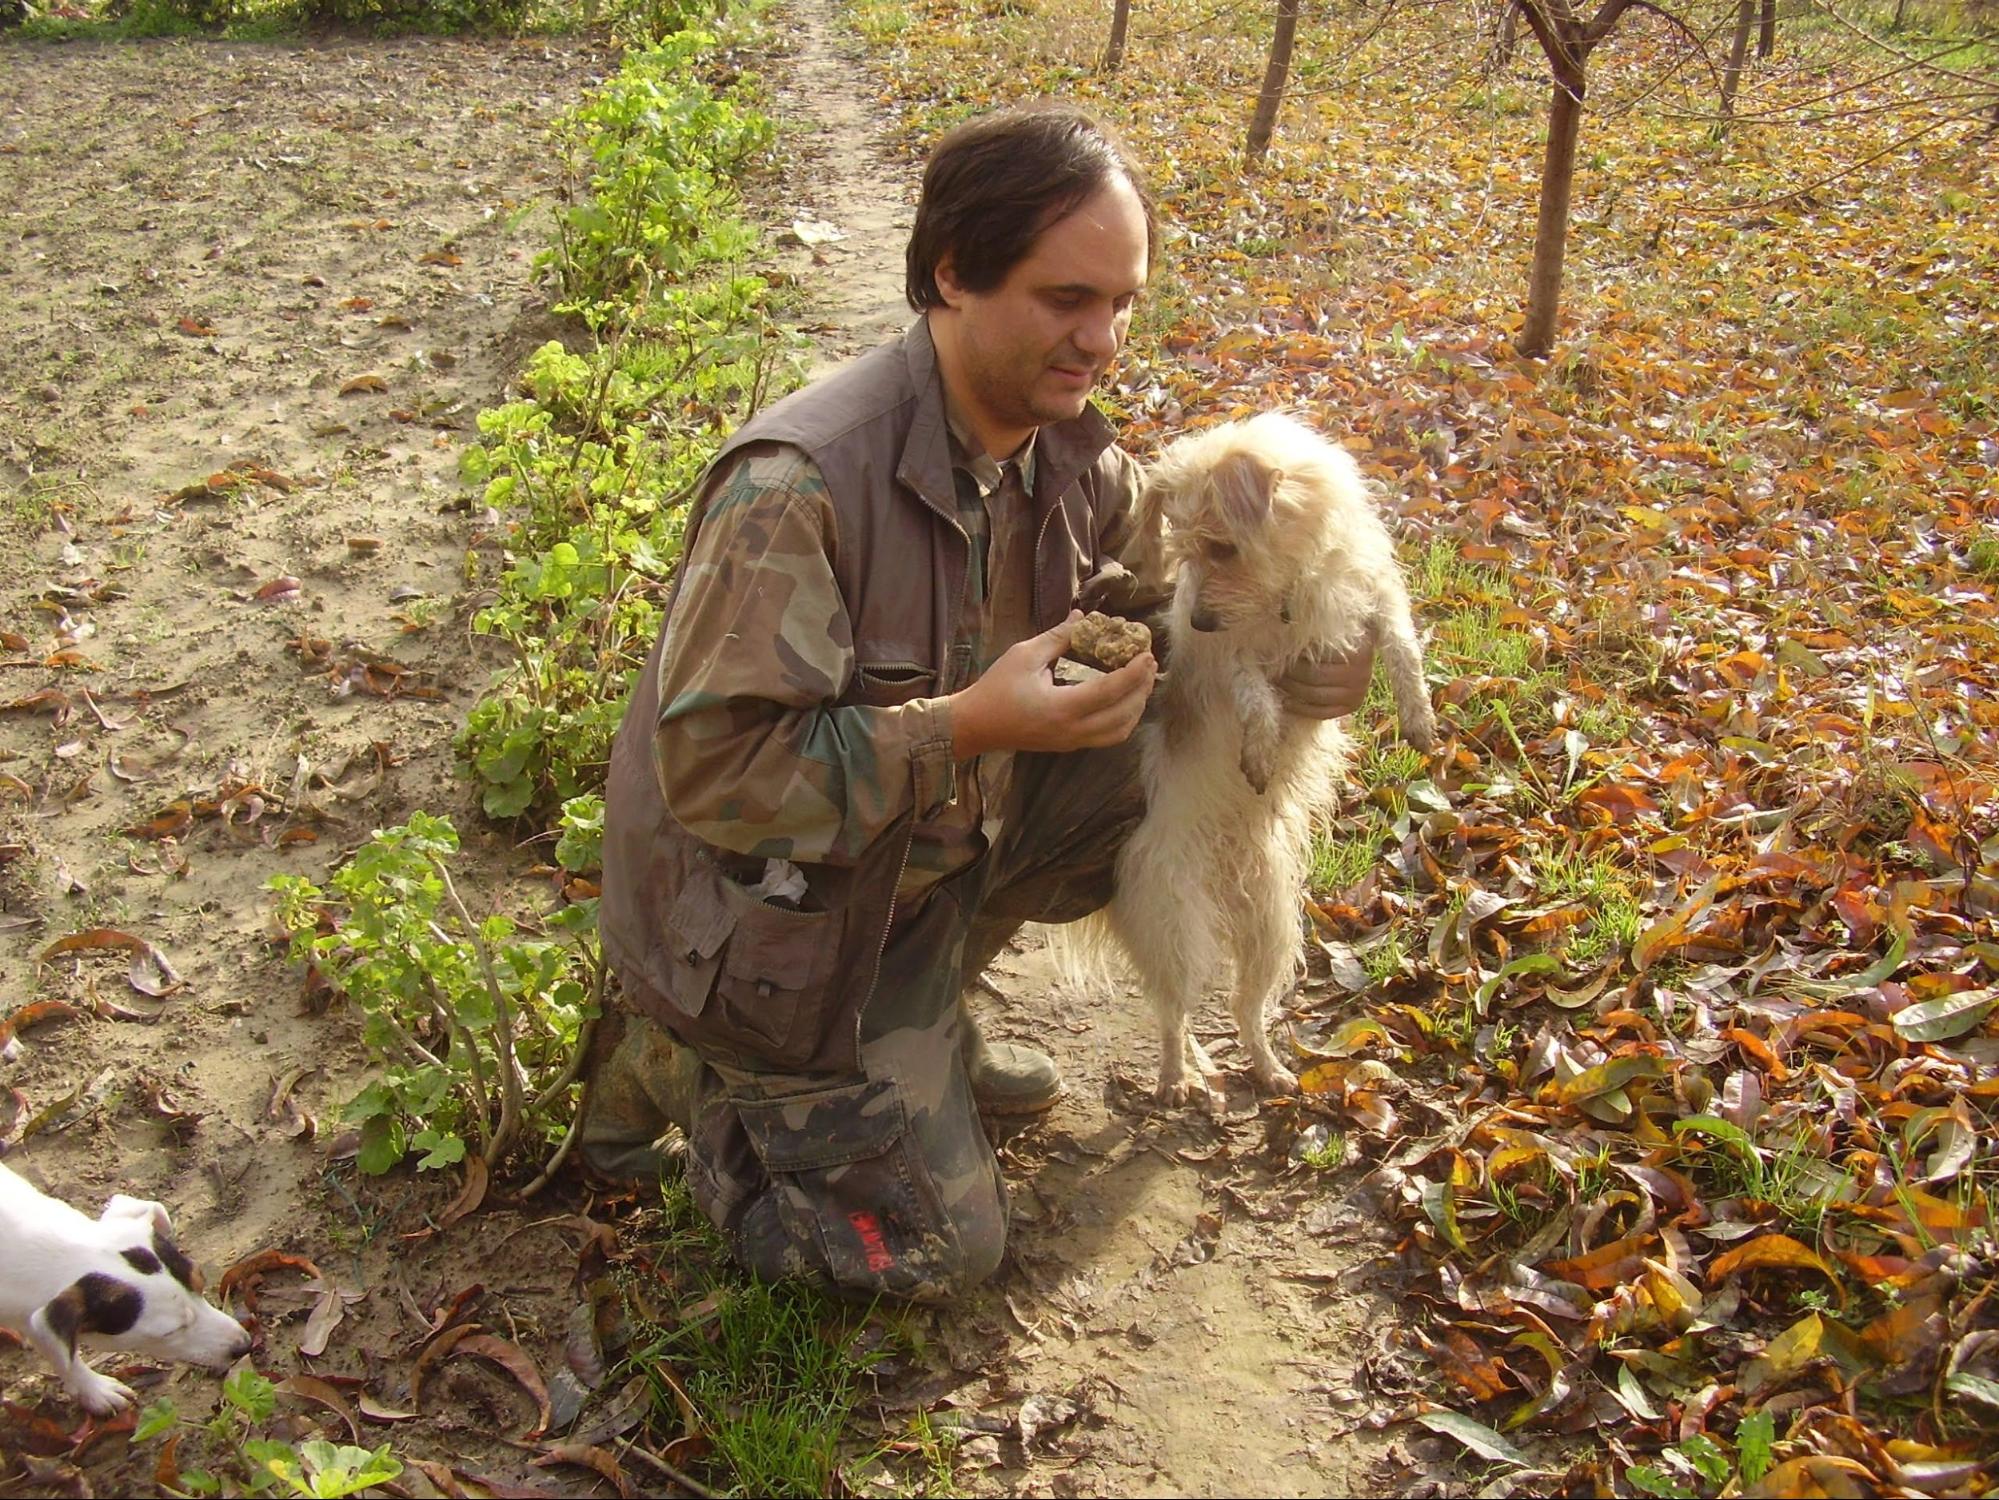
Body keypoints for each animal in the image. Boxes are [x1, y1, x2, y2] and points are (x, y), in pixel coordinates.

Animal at [0, 1160, 253, 1416]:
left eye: (201, 1282)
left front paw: (90, 1388)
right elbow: (62, 1354)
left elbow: (54, 1348)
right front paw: (95, 1390)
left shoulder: (28, 1311)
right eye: (170, 1332)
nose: (244, 1346)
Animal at [1095, 418, 1439, 1112]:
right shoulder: (1230, 657)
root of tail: (1223, 867)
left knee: (1244, 1008)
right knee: (1175, 1014)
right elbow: (1252, 692)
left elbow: (1400, 639)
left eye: (1222, 548)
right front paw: (1260, 745)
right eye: (1183, 550)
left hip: (1271, 927)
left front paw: (1416, 710)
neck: (1283, 595)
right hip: (1174, 922)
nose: (1199, 617)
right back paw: (1175, 1077)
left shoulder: (1374, 592)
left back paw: (1267, 1068)